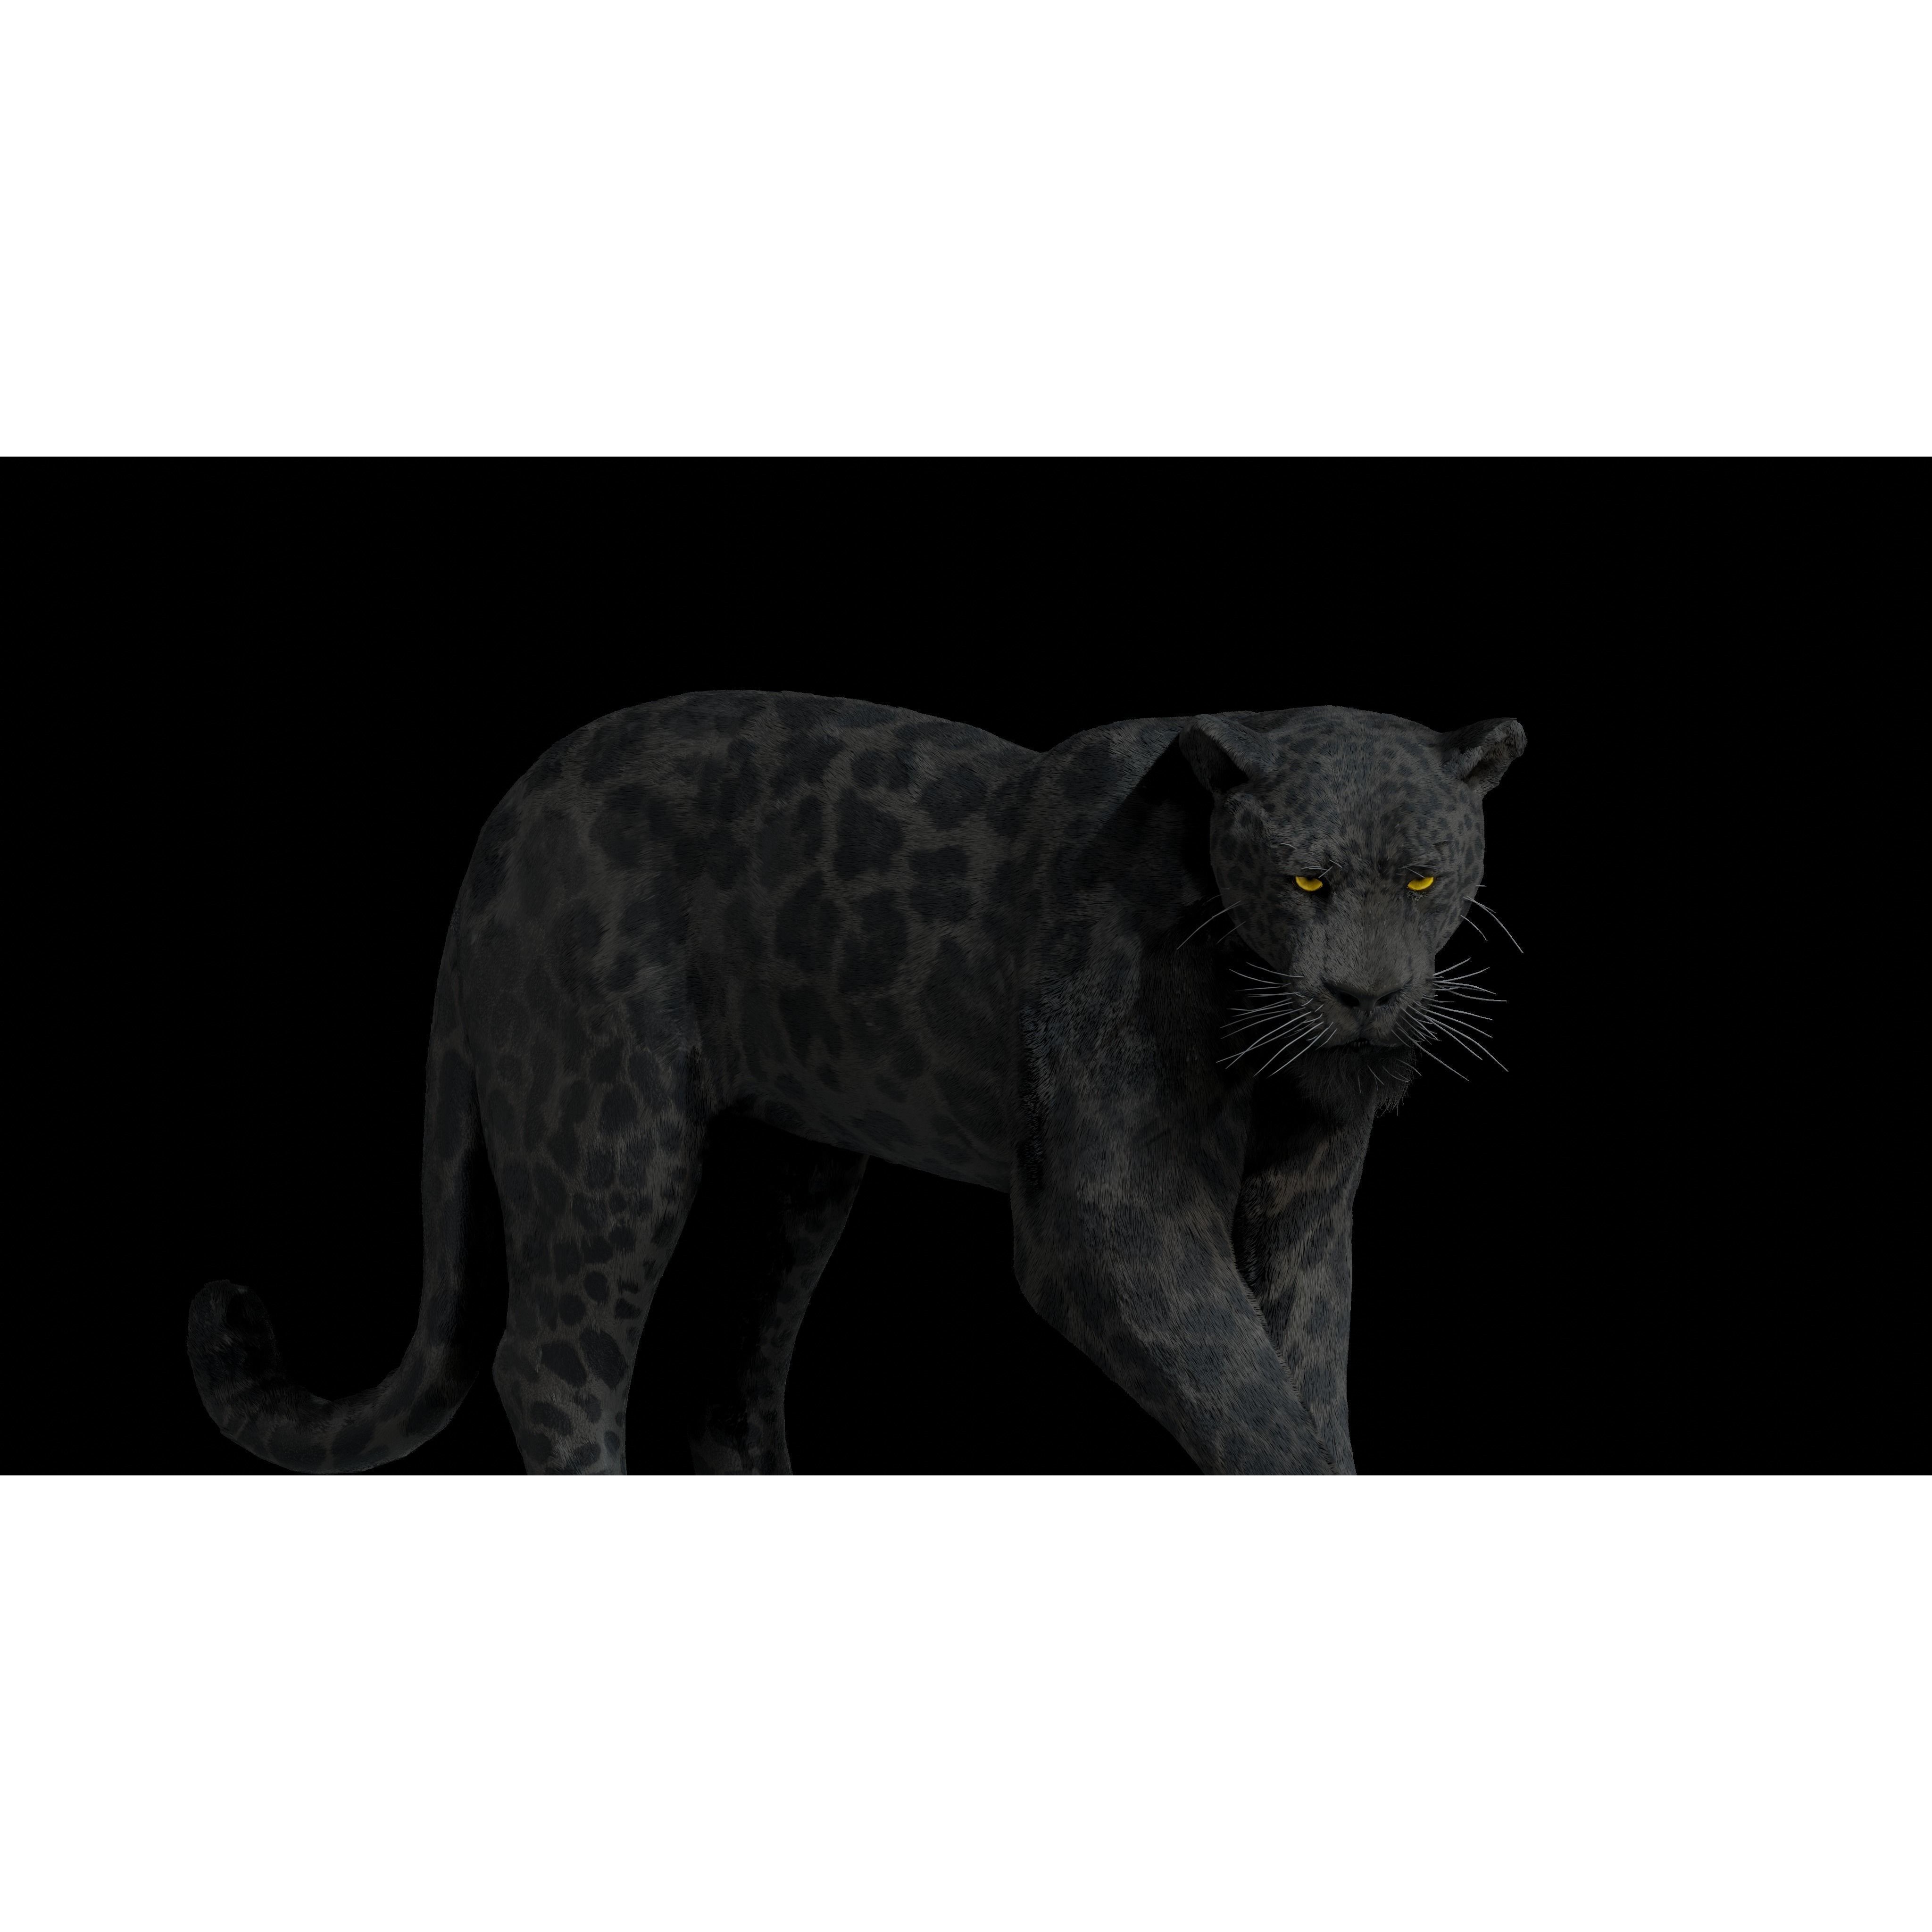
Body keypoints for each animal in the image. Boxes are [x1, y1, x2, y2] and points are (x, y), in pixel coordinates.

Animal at [187, 691, 1525, 1475]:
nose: (1365, 997)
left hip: (791, 1176)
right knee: (551, 1360)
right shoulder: (1112, 1219)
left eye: (1421, 878)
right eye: (1305, 880)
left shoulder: (1301, 1210)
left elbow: (1305, 1381)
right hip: (610, 1134)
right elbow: (1246, 1398)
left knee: (725, 1381)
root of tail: (504, 819)